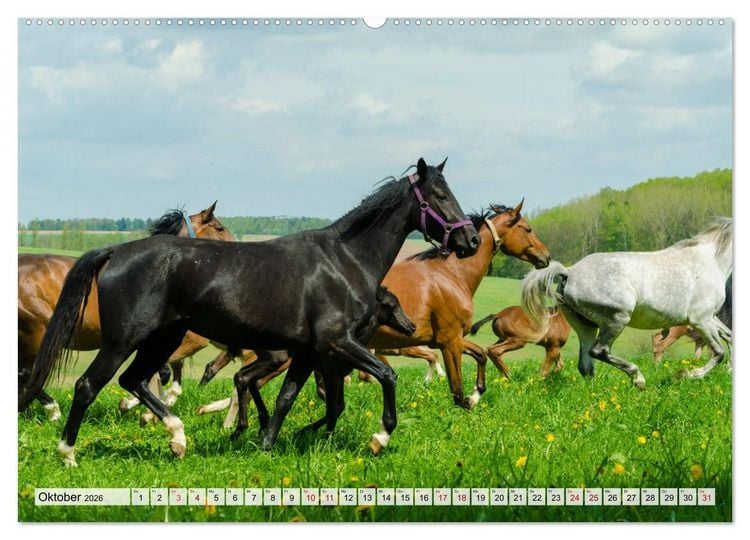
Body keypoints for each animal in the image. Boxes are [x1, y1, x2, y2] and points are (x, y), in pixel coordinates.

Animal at [17, 203, 234, 420]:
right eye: (219, 228)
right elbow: (158, 375)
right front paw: (142, 407)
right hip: (37, 332)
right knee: (28, 374)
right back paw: (51, 409)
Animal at [521, 218, 733, 389]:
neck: (710, 261)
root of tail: (569, 272)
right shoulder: (700, 320)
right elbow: (719, 352)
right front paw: (688, 374)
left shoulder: (711, 317)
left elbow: (730, 337)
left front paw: (729, 370)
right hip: (617, 318)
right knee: (599, 351)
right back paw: (638, 379)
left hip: (586, 326)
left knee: (585, 365)